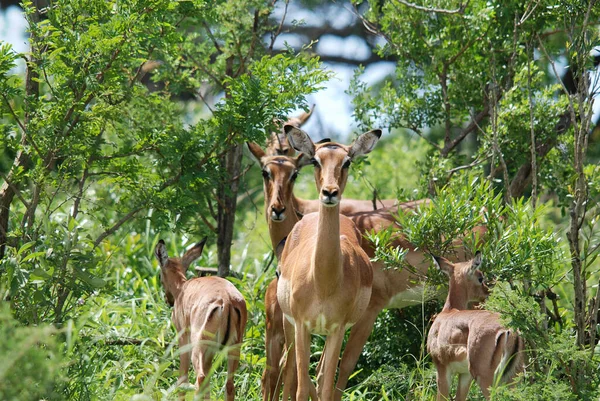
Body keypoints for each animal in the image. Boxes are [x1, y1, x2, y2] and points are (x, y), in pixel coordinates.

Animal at [157, 239, 248, 398]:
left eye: (160, 277)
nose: (168, 300)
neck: (182, 288)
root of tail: (226, 299)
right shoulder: (210, 352)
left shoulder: (183, 337)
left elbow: (182, 379)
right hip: (233, 346)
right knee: (228, 384)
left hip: (197, 346)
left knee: (199, 378)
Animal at [276, 126, 380, 400]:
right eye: (315, 160)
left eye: (347, 162)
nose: (330, 193)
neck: (323, 282)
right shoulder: (301, 325)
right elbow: (301, 387)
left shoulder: (337, 329)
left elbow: (325, 385)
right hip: (288, 324)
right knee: (288, 368)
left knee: (322, 374)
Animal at [428, 252, 524, 398]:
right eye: (480, 278)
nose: (488, 292)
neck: (448, 312)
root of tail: (509, 330)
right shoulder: (465, 374)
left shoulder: (442, 369)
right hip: (512, 379)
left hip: (485, 378)